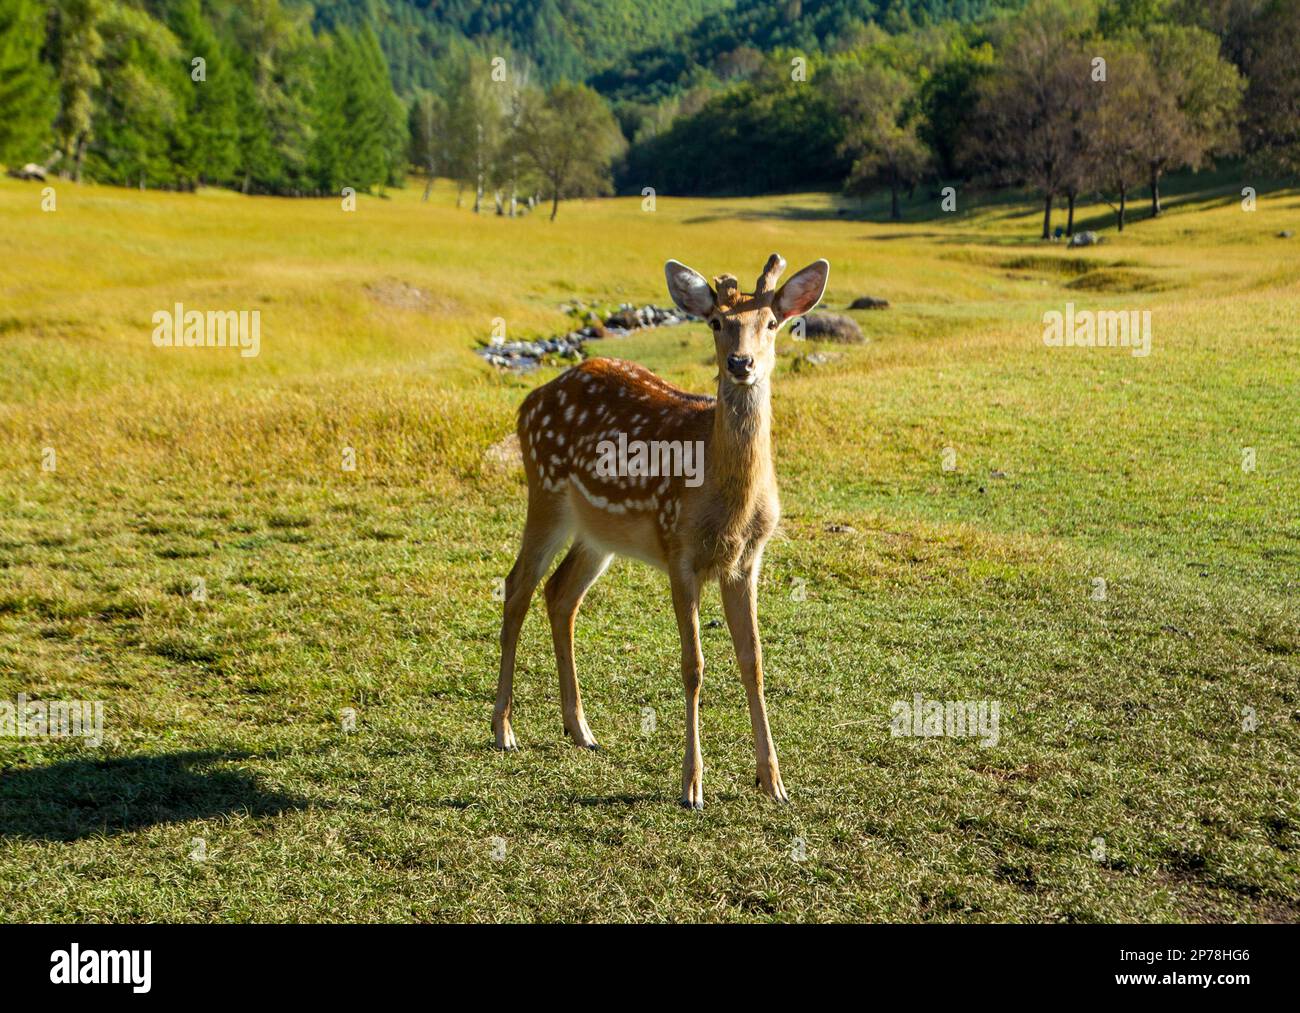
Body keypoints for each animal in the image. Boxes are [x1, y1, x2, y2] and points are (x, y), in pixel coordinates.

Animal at [491, 257, 826, 811]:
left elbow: (754, 661)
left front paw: (773, 781)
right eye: (716, 322)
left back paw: (581, 729)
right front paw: (692, 786)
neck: (727, 503)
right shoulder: (679, 550)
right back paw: (503, 730)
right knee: (517, 586)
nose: (740, 363)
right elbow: (694, 666)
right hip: (545, 491)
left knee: (560, 594)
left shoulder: (746, 560)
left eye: (772, 323)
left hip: (597, 534)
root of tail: (528, 401)